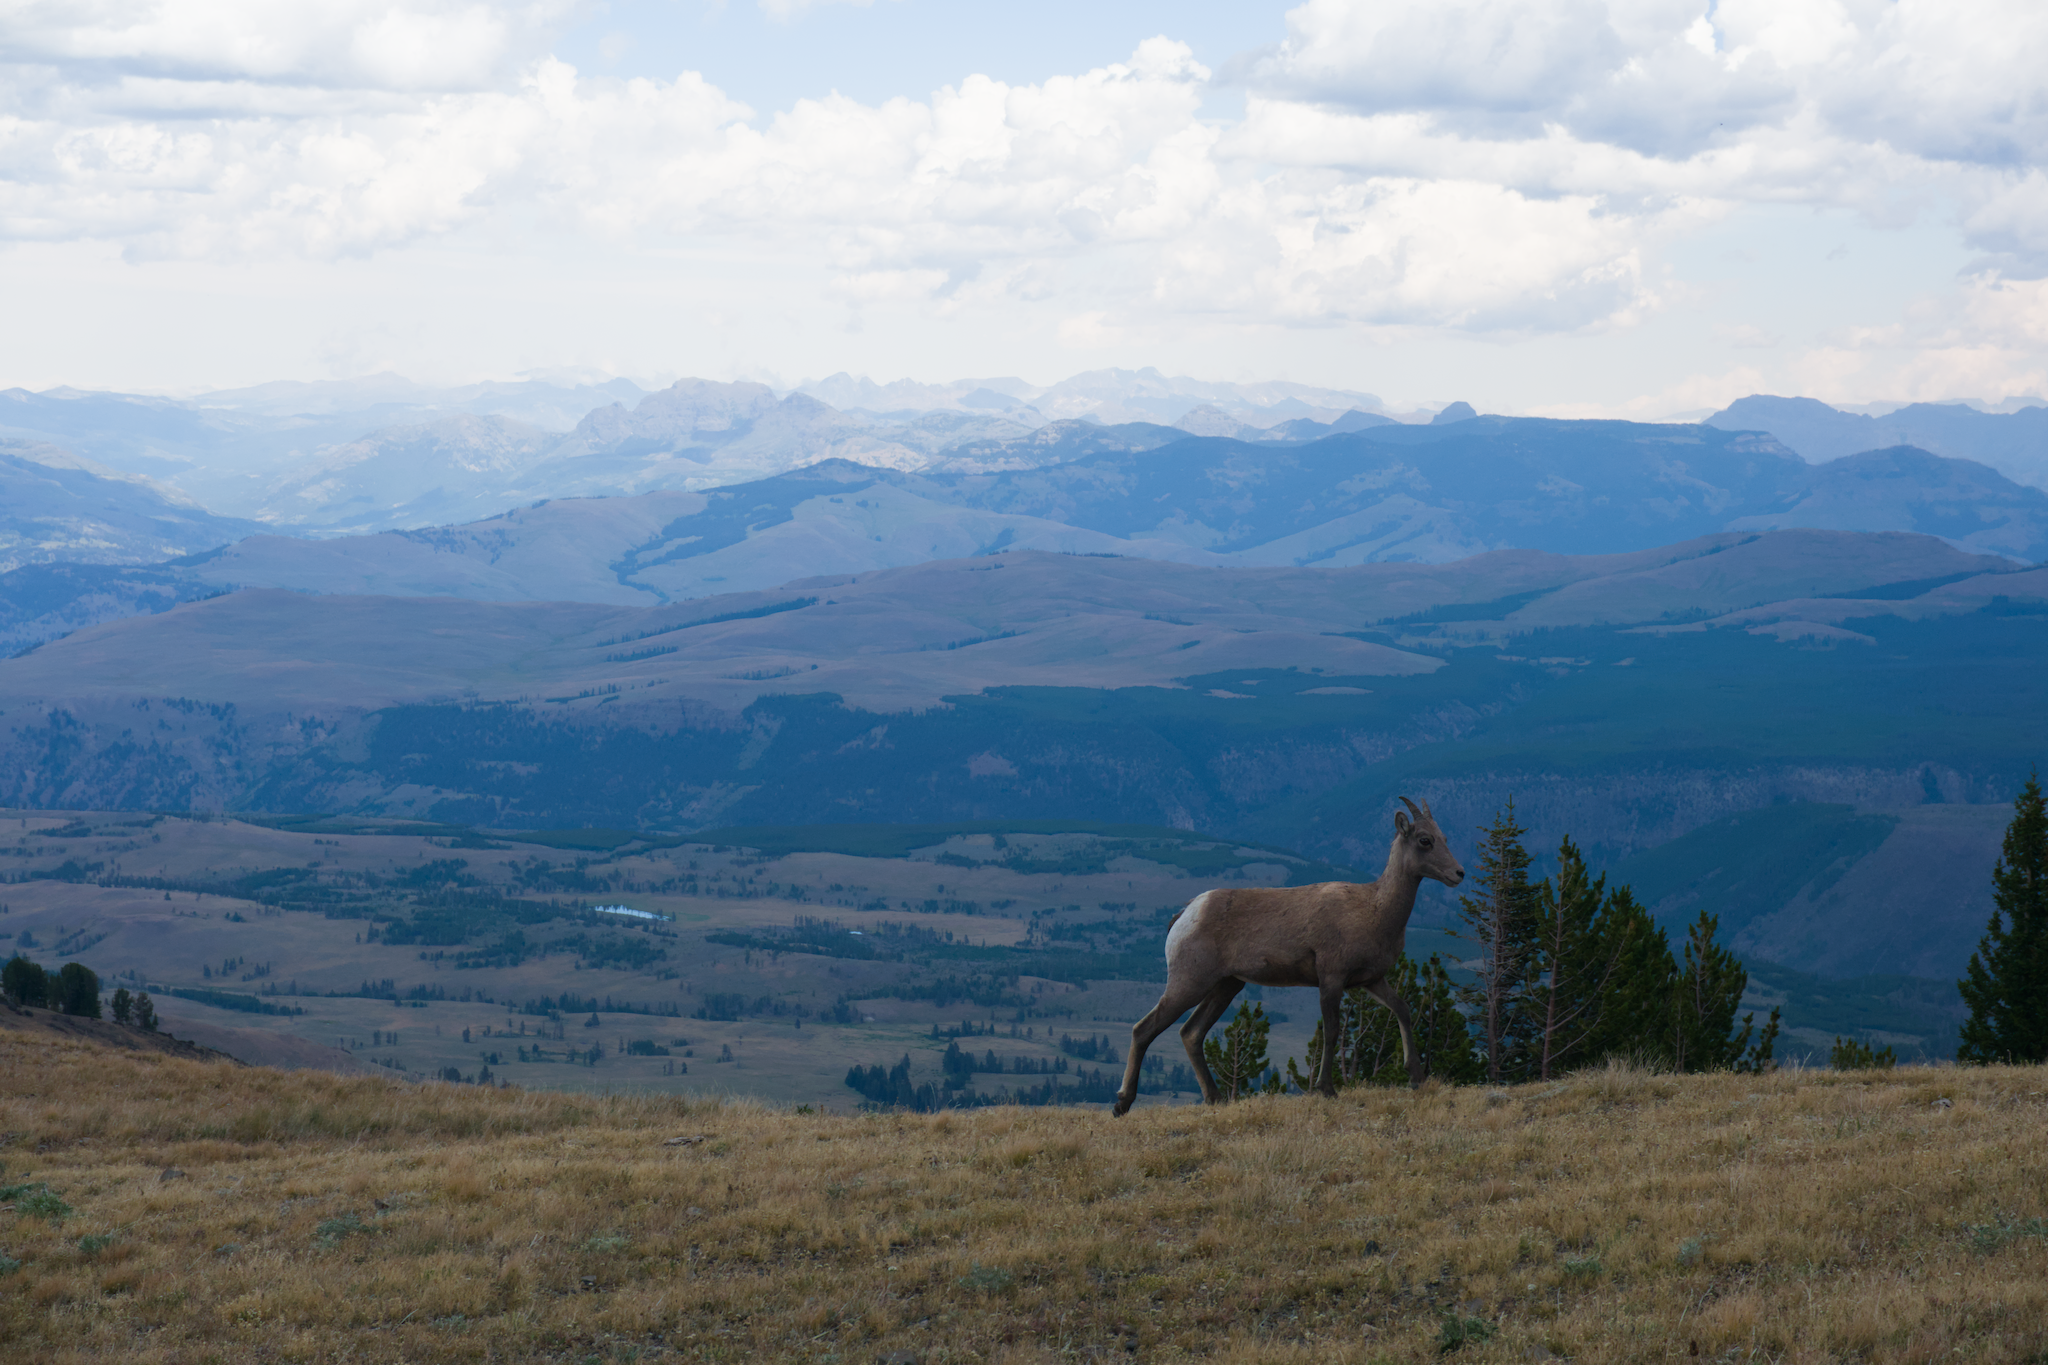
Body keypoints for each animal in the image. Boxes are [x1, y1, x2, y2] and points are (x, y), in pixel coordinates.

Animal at [1112, 798, 1465, 1114]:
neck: (1375, 911)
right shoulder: (1331, 978)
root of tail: (1186, 913)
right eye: (1425, 840)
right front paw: (1326, 1090)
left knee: (1191, 1033)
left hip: (1226, 986)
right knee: (1144, 1029)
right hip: (1190, 982)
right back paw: (1121, 1104)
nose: (1459, 873)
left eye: (1445, 838)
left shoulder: (1371, 980)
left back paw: (1216, 1099)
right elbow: (1331, 1030)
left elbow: (1403, 1010)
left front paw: (1417, 1078)